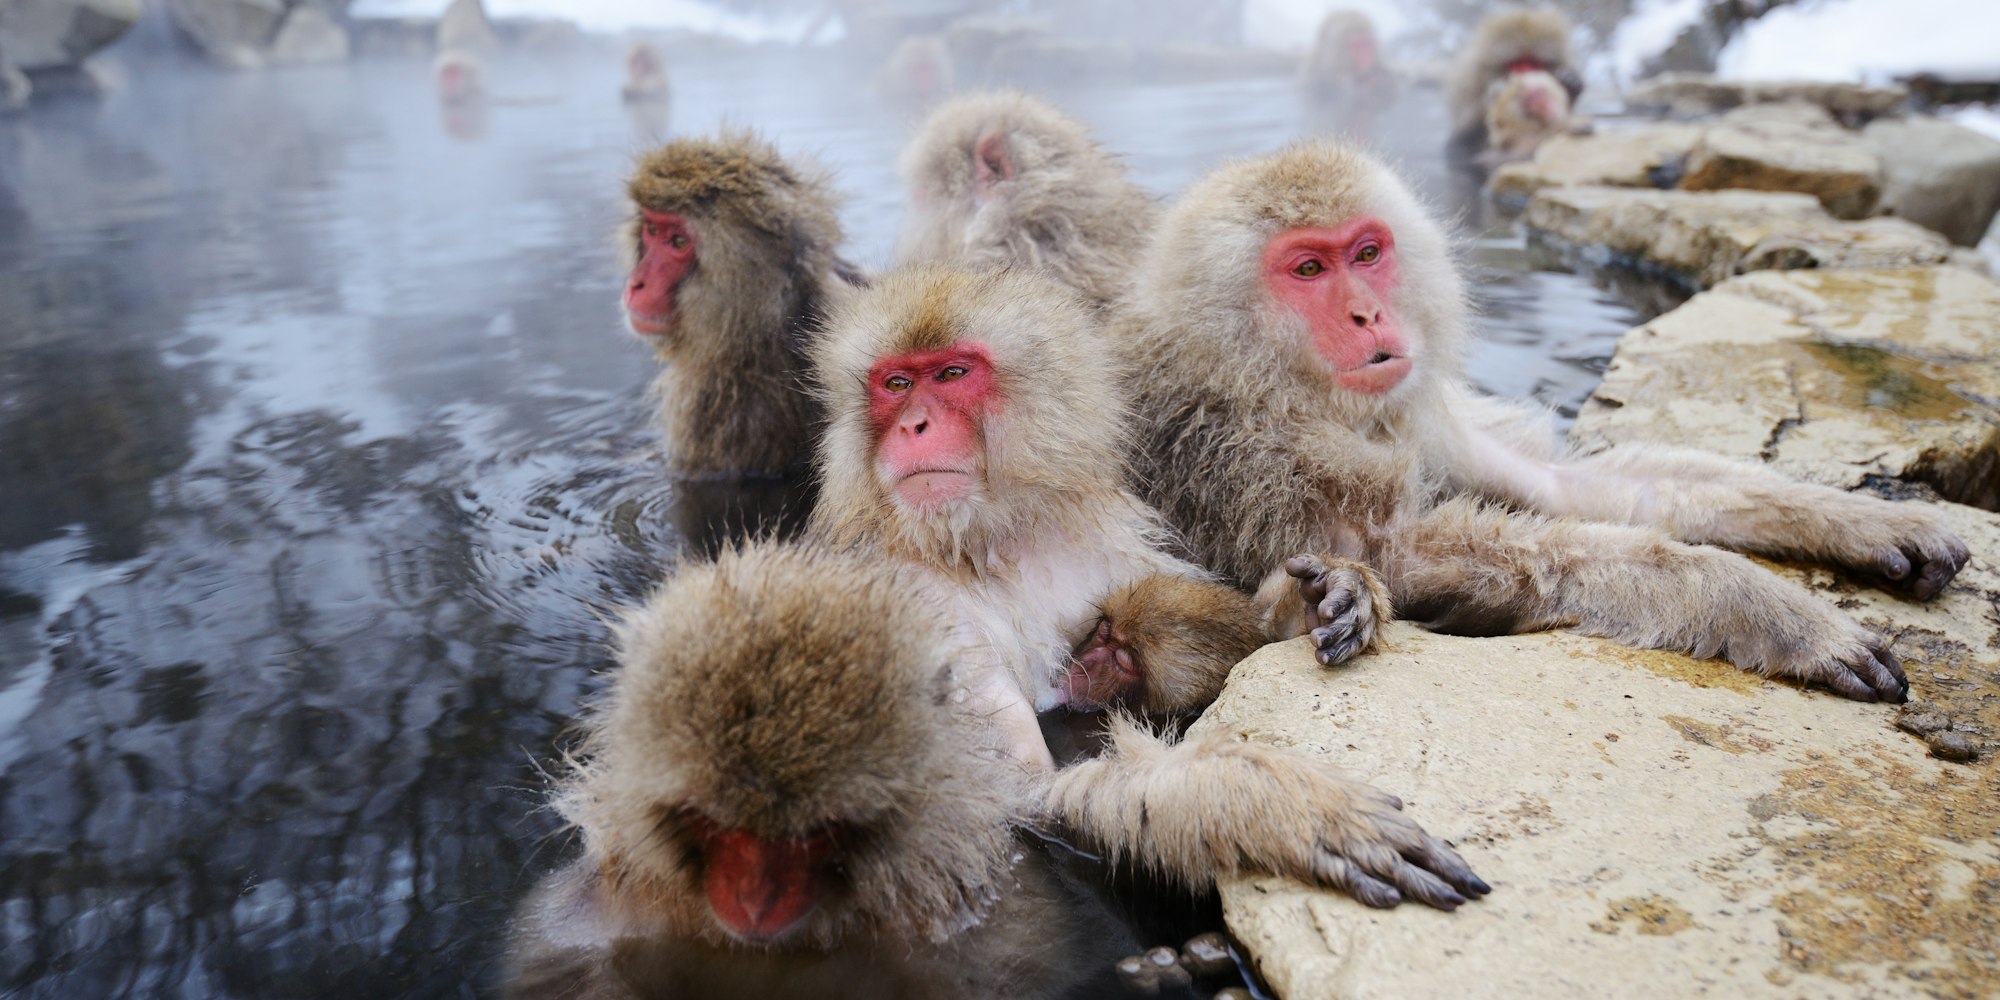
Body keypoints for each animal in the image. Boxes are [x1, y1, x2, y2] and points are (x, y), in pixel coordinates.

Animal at [805, 264, 1489, 910]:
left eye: (951, 374)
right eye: (896, 384)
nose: (914, 425)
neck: (992, 541)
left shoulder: (1107, 543)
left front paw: (1324, 595)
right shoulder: (914, 602)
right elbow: (1016, 796)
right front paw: (1260, 801)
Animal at [1111, 139, 1972, 706]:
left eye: (1366, 253)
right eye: (1309, 269)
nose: (1367, 315)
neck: (1262, 380)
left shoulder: (1420, 415)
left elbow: (1563, 485)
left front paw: (1863, 519)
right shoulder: (1239, 452)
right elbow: (1408, 556)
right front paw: (1771, 610)